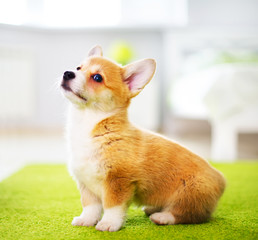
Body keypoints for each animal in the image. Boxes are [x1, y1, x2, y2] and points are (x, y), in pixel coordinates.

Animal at [61, 46, 226, 232]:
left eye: (97, 77)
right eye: (78, 68)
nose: (67, 73)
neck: (89, 123)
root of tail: (220, 179)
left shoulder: (118, 181)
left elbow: (112, 207)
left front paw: (109, 223)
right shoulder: (85, 183)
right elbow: (90, 207)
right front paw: (86, 220)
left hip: (189, 193)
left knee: (189, 214)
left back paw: (162, 217)